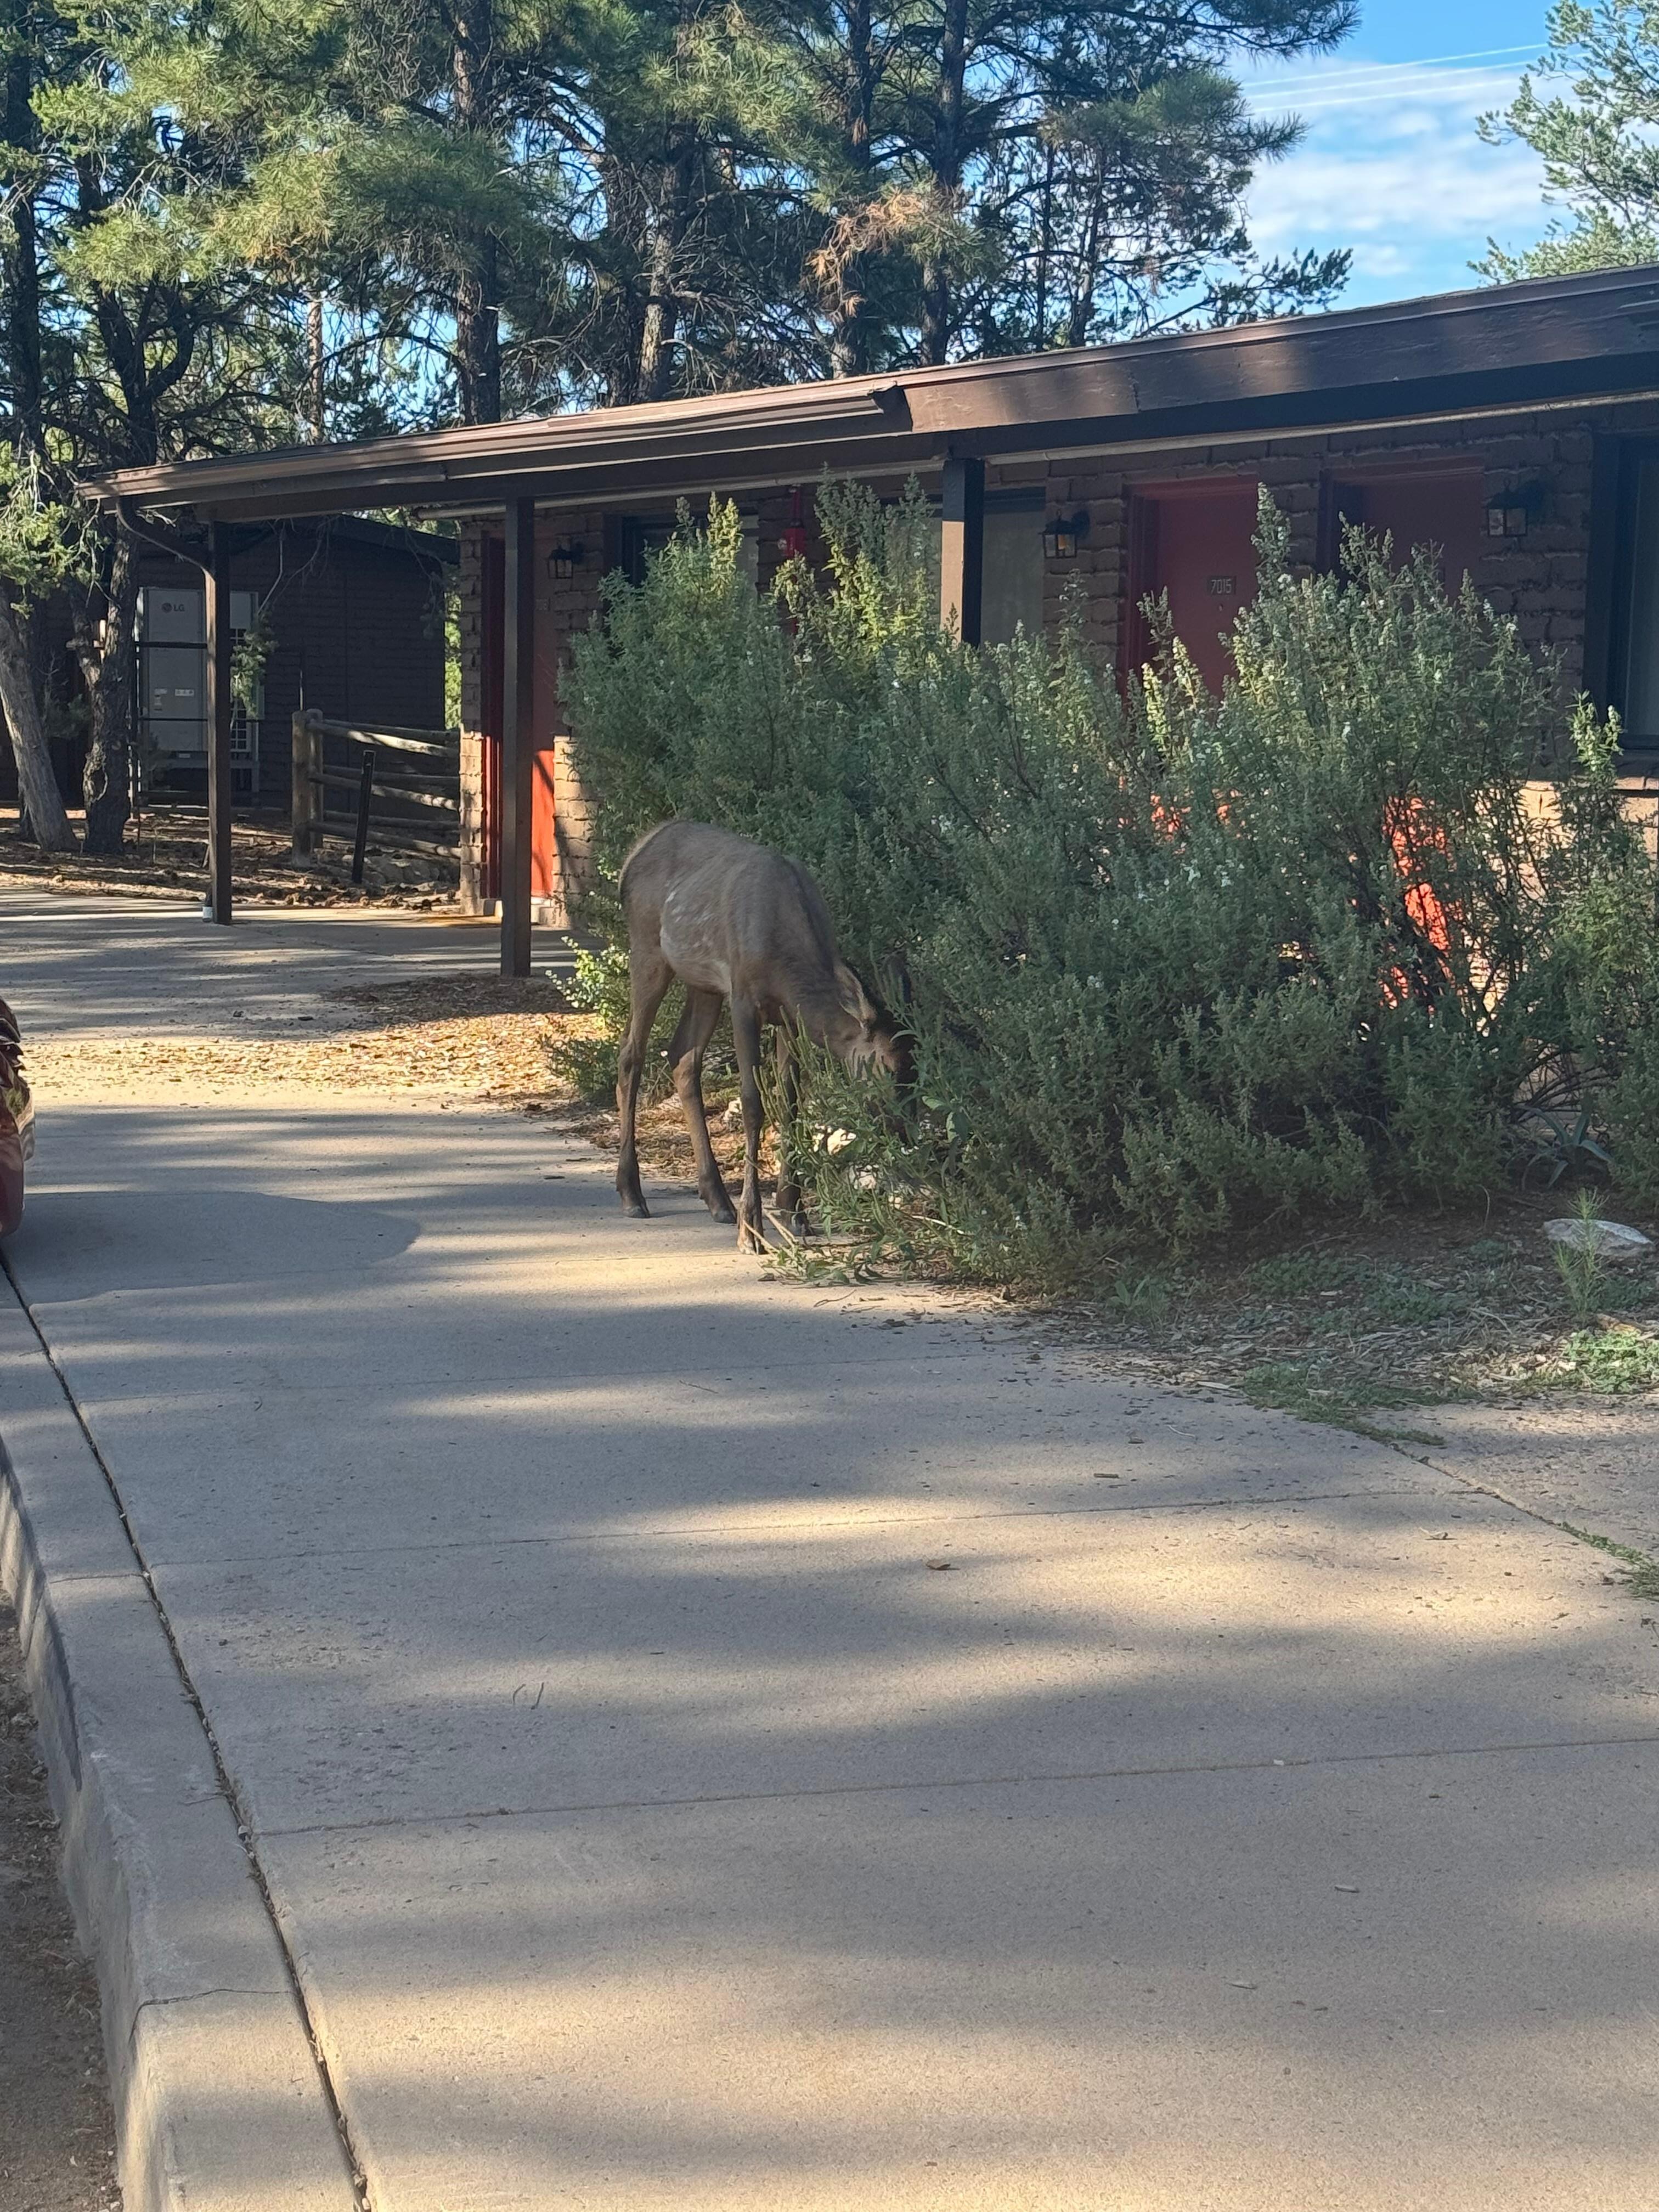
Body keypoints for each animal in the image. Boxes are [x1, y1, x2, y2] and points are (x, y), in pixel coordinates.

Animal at [614, 820, 911, 1251]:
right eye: (886, 1066)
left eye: (916, 1067)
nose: (903, 1129)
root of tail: (631, 859)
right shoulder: (743, 997)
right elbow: (754, 1103)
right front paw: (751, 1226)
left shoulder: (789, 1017)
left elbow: (791, 1103)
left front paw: (795, 1212)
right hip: (648, 949)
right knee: (631, 1054)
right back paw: (632, 1194)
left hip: (703, 984)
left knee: (683, 1057)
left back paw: (718, 1201)